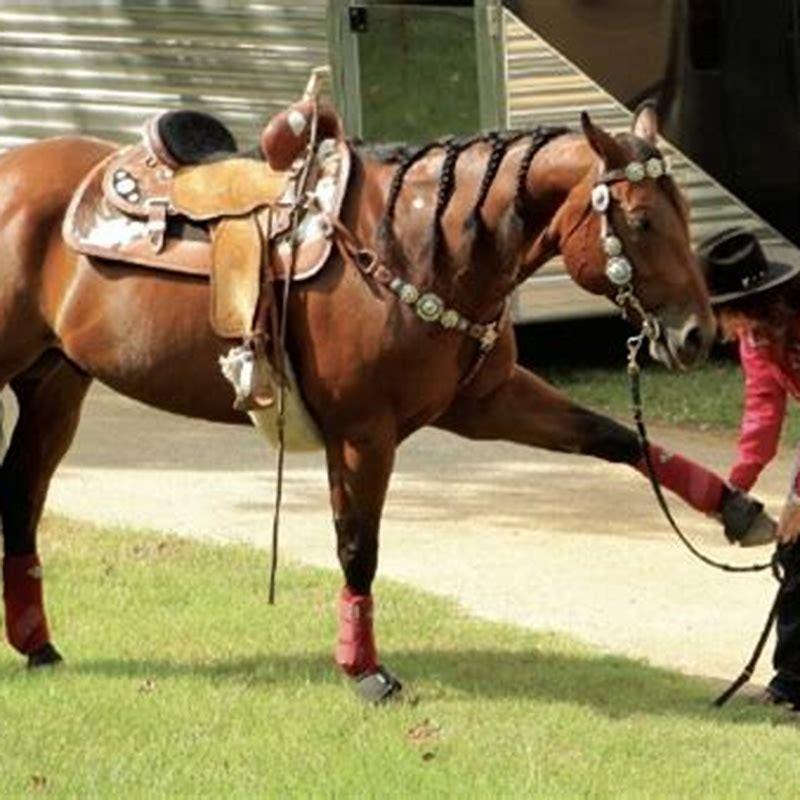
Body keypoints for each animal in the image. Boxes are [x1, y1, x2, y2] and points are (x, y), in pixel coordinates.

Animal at [0, 104, 760, 700]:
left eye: (685, 213)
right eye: (641, 219)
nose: (698, 335)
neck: (419, 246)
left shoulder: (487, 401)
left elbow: (615, 436)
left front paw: (736, 508)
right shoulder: (364, 433)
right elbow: (357, 547)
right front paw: (365, 670)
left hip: (55, 383)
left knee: (23, 495)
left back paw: (39, 645)